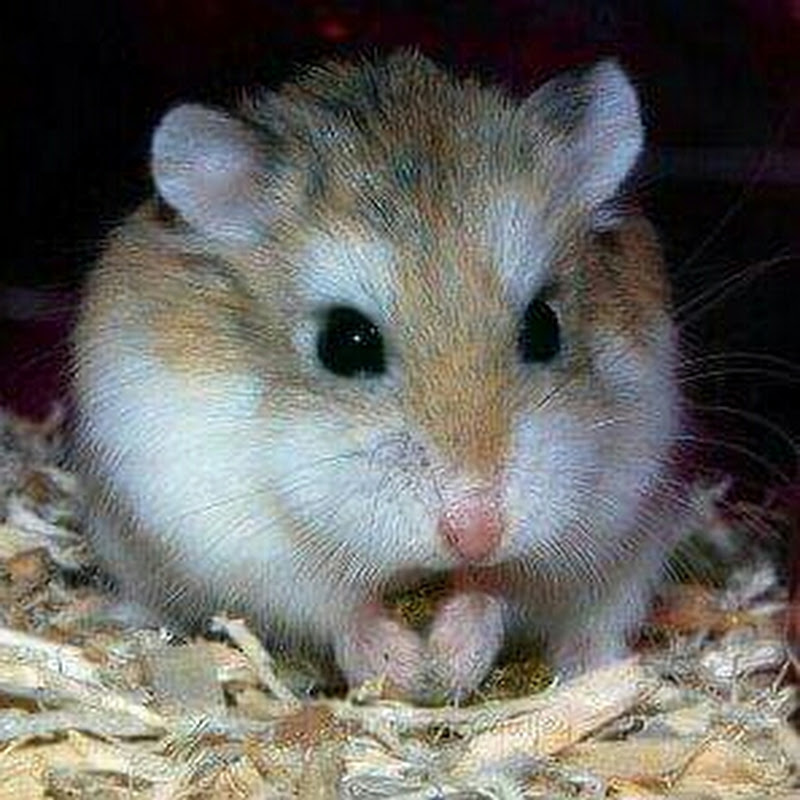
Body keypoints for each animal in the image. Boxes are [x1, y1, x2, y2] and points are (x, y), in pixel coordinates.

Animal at [72, 51, 688, 701]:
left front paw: (452, 658)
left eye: (545, 326)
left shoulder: (606, 509)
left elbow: (503, 587)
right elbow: (337, 603)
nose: (478, 534)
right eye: (346, 343)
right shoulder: (235, 536)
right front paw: (402, 668)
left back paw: (590, 670)